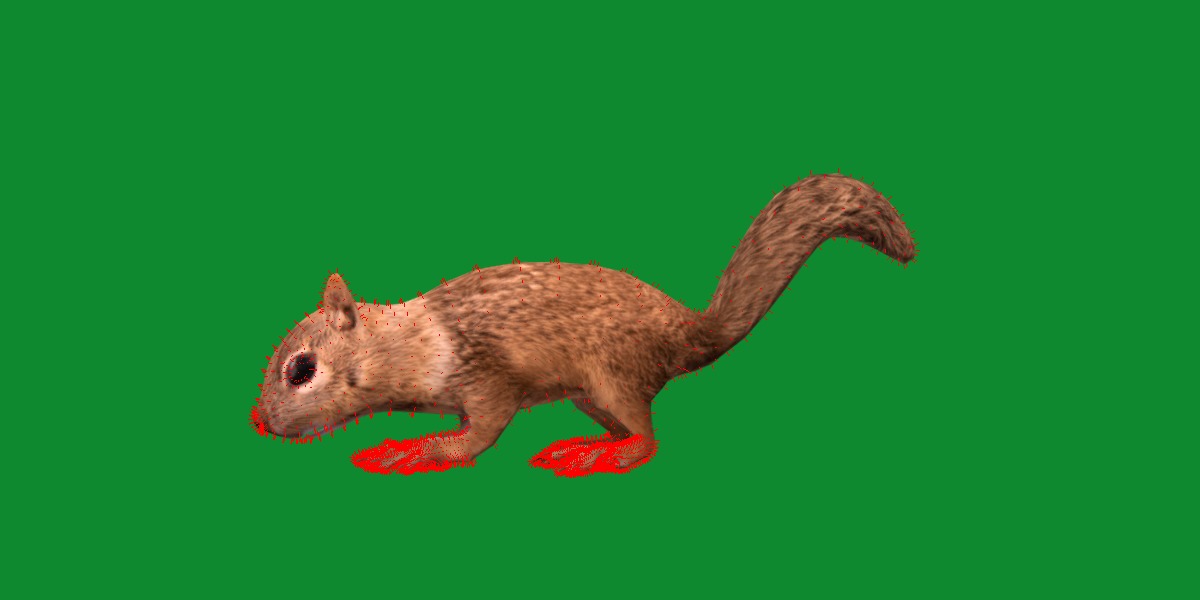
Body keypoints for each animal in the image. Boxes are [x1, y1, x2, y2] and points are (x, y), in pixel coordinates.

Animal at [249, 173, 916, 477]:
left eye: (302, 370)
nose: (259, 422)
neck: (409, 338)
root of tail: (687, 331)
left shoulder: (486, 377)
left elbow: (476, 436)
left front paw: (413, 448)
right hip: (591, 394)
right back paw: (582, 443)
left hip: (612, 377)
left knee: (645, 441)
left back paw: (598, 456)